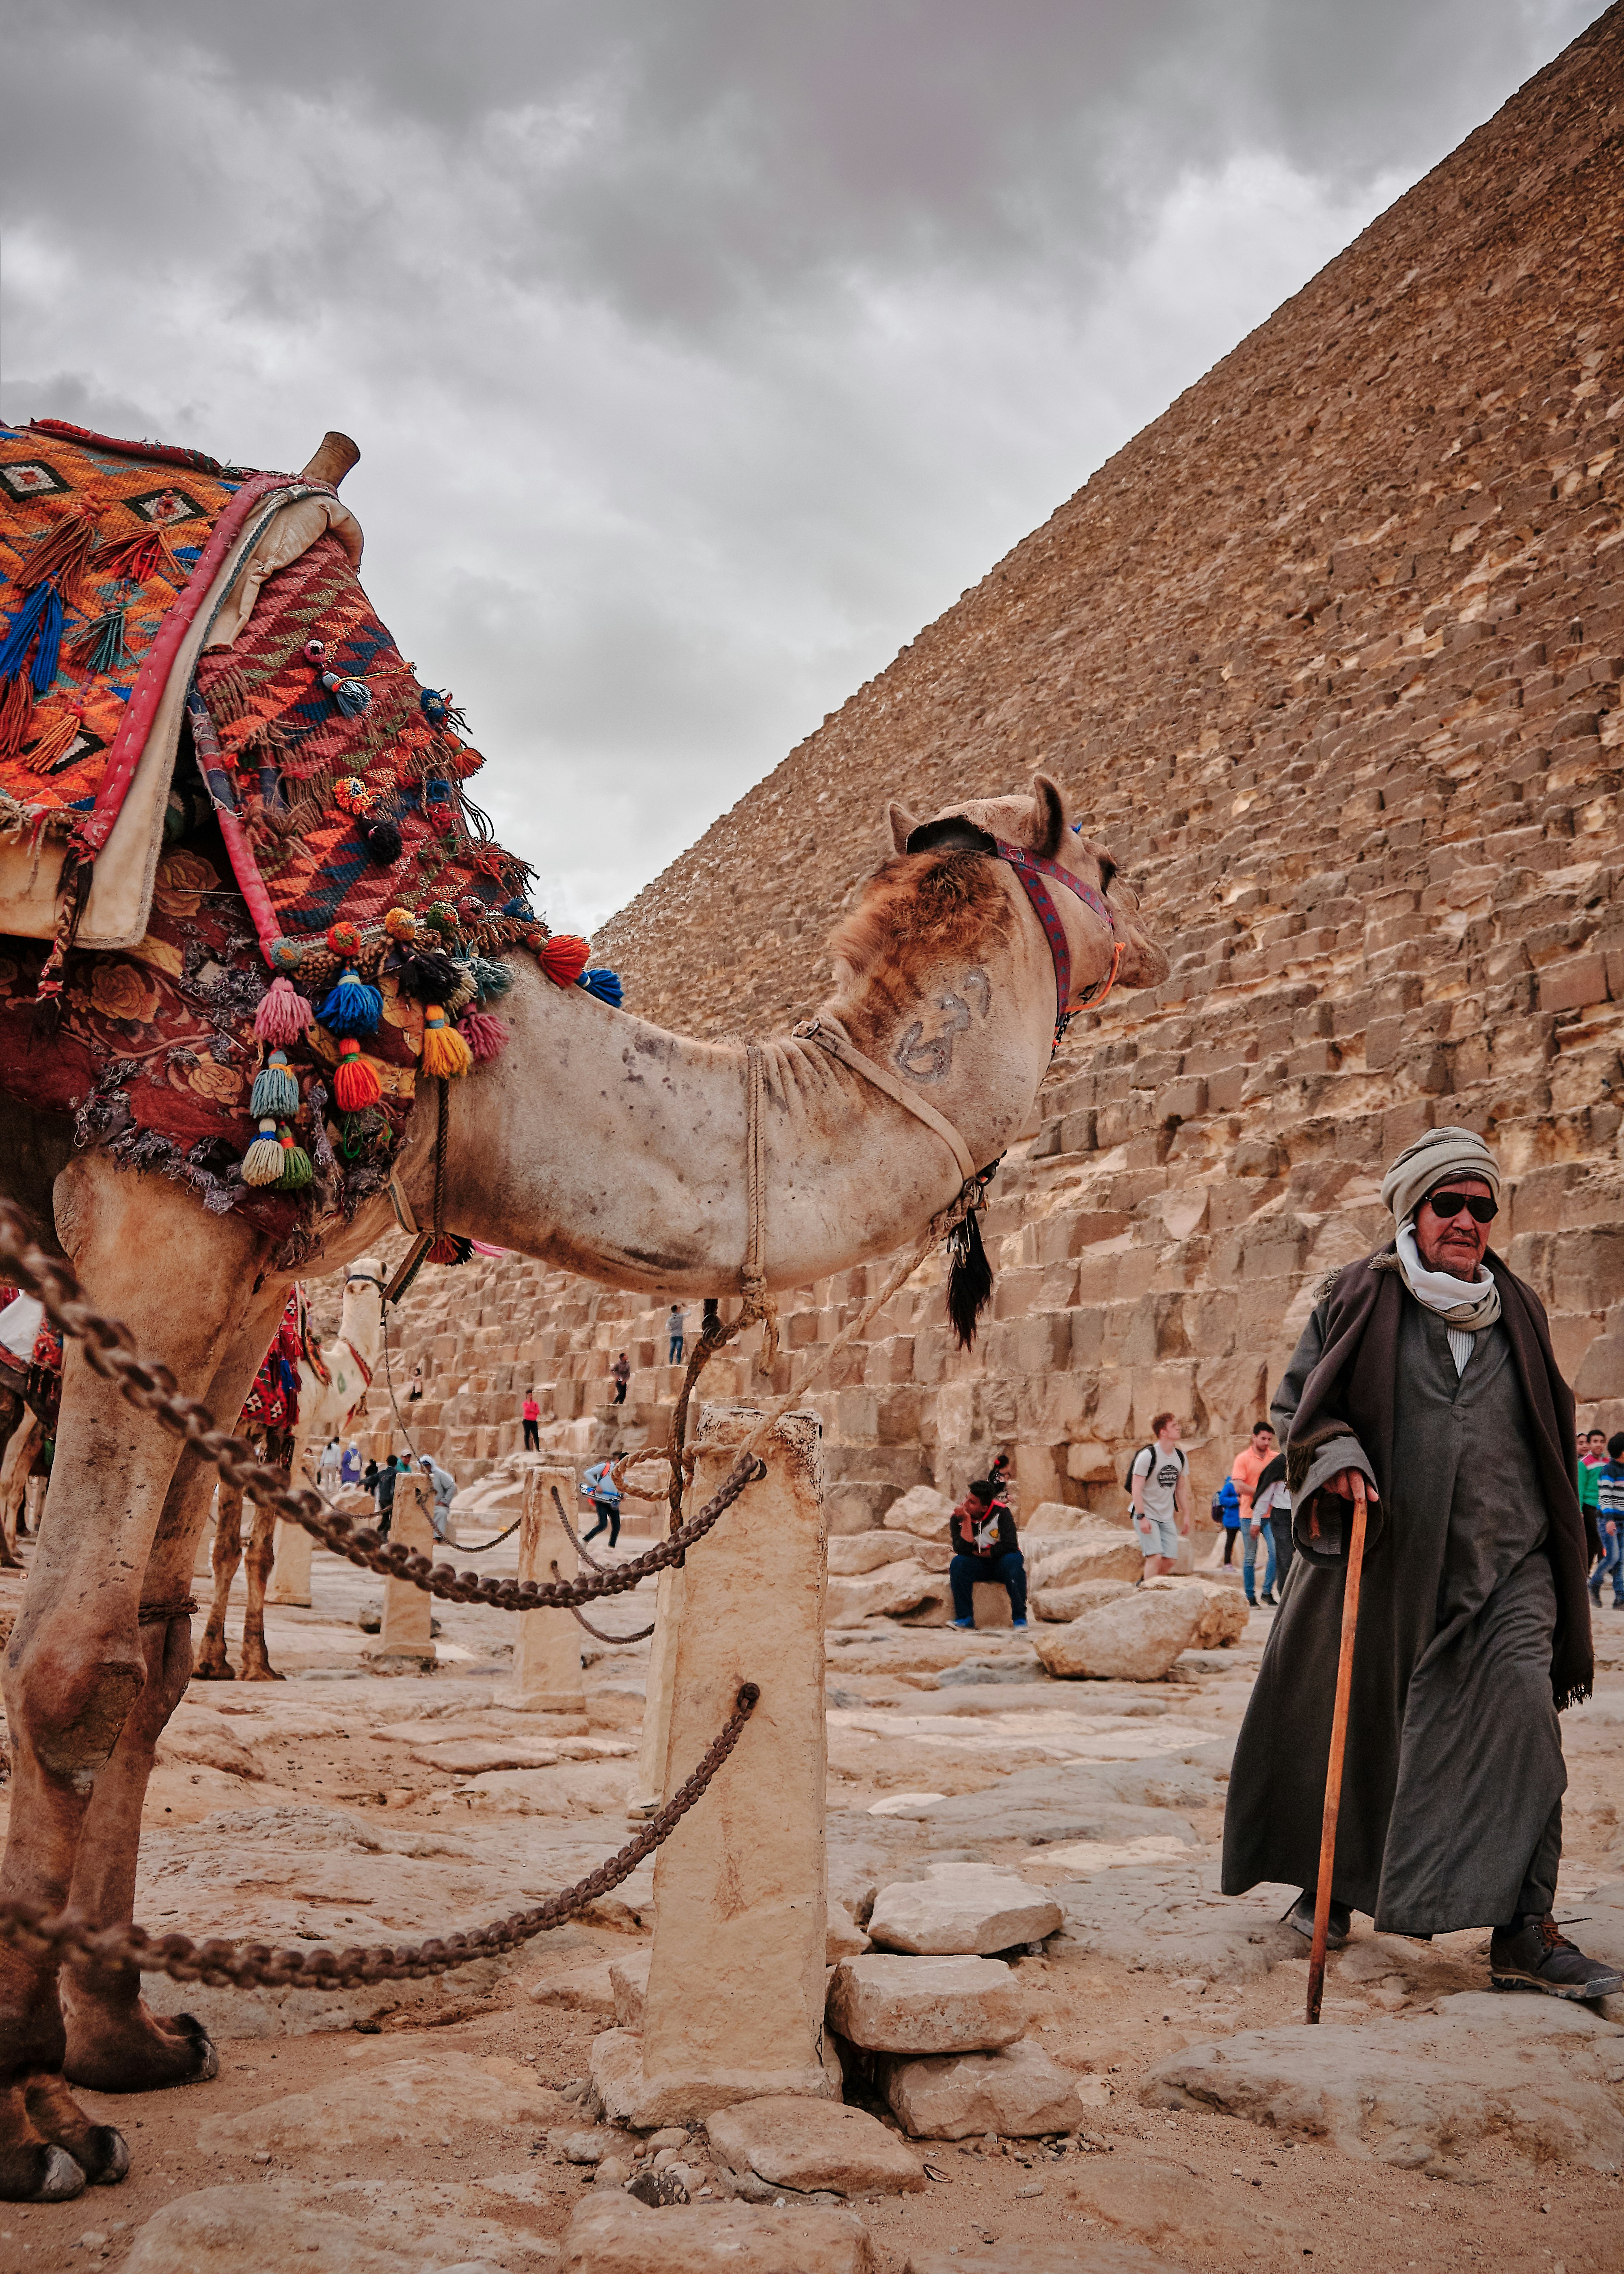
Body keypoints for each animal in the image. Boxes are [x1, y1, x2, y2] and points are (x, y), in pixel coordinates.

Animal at [193, 1264, 387, 1692]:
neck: (329, 1376)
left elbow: (226, 1549)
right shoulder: (291, 1433)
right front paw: (258, 1663)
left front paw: (212, 1661)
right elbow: (261, 1553)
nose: (361, 1281)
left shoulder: (240, 1439)